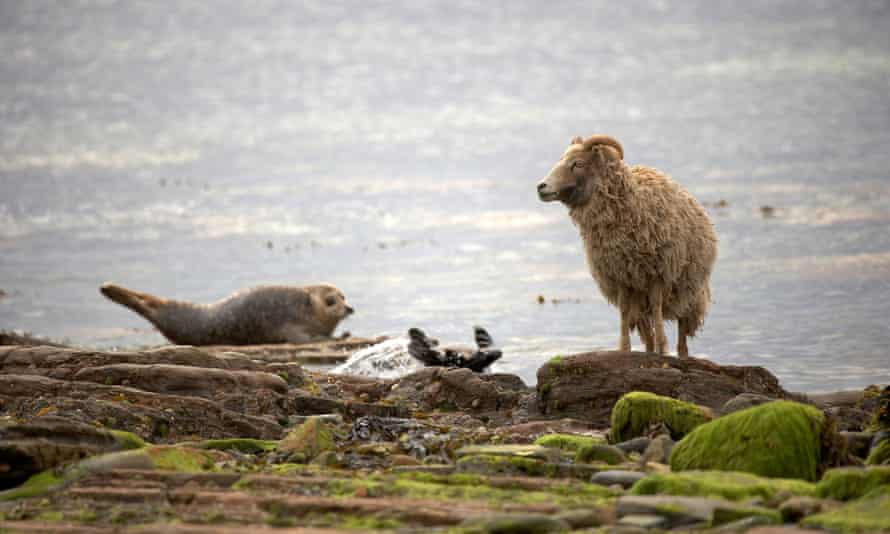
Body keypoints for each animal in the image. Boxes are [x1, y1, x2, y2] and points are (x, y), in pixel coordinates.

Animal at [536, 136, 716, 358]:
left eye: (578, 163)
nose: (541, 186)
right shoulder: (620, 275)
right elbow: (623, 311)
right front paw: (624, 349)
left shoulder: (658, 274)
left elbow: (657, 307)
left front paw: (662, 349)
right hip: (641, 298)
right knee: (647, 332)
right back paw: (649, 351)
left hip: (689, 290)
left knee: (682, 331)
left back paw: (679, 355)